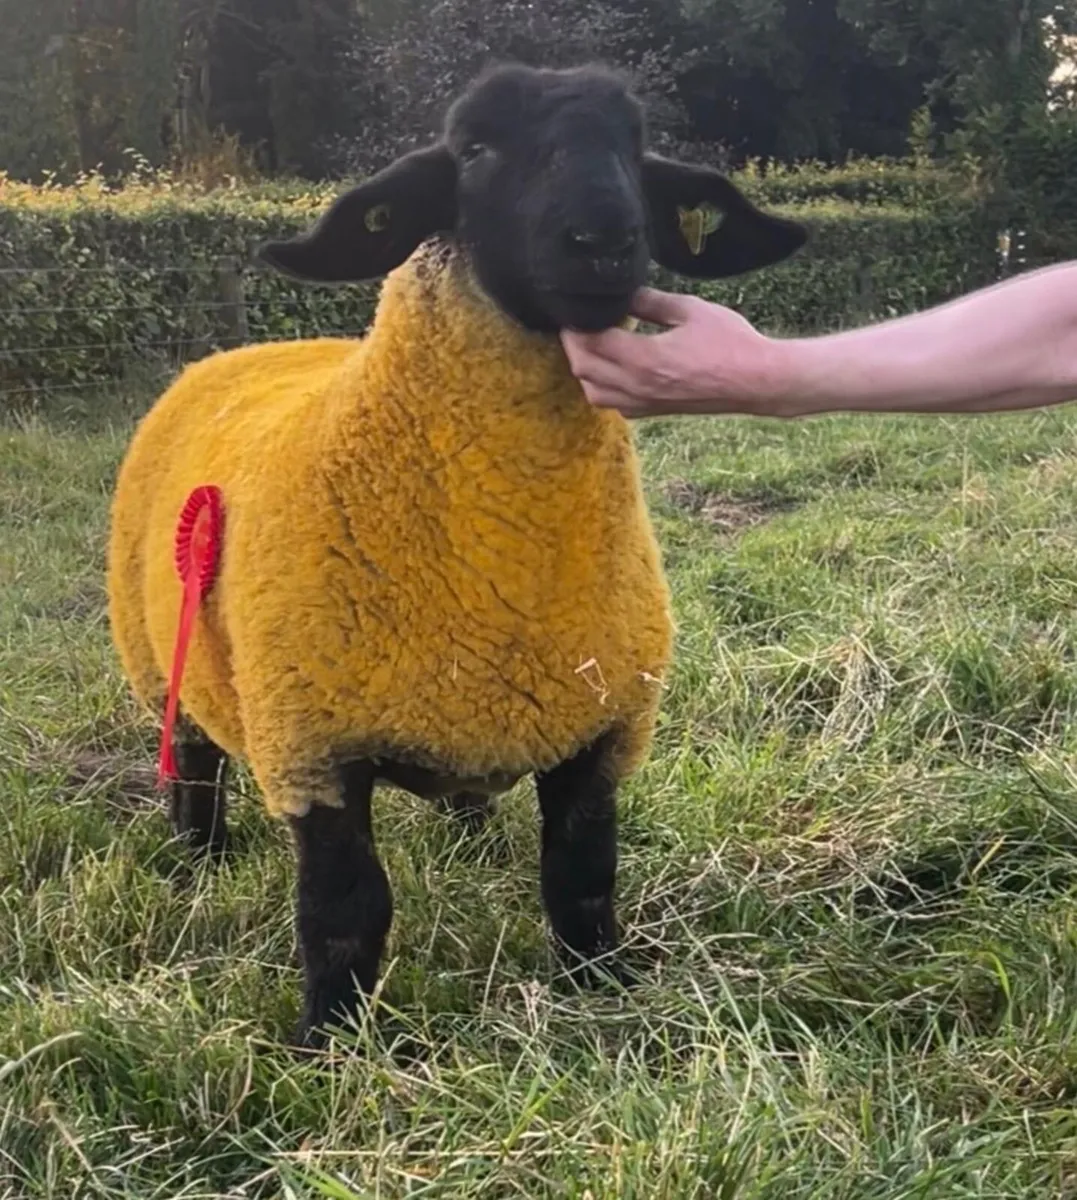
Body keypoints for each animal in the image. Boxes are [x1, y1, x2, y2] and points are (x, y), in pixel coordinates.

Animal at [106, 61, 807, 1048]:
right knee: (195, 767)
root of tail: (247, 347)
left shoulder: (601, 726)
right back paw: (200, 857)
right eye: (472, 149)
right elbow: (345, 911)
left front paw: (603, 987)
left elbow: (582, 878)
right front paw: (329, 1043)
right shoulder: (311, 745)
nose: (604, 242)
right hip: (164, 657)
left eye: (635, 146)